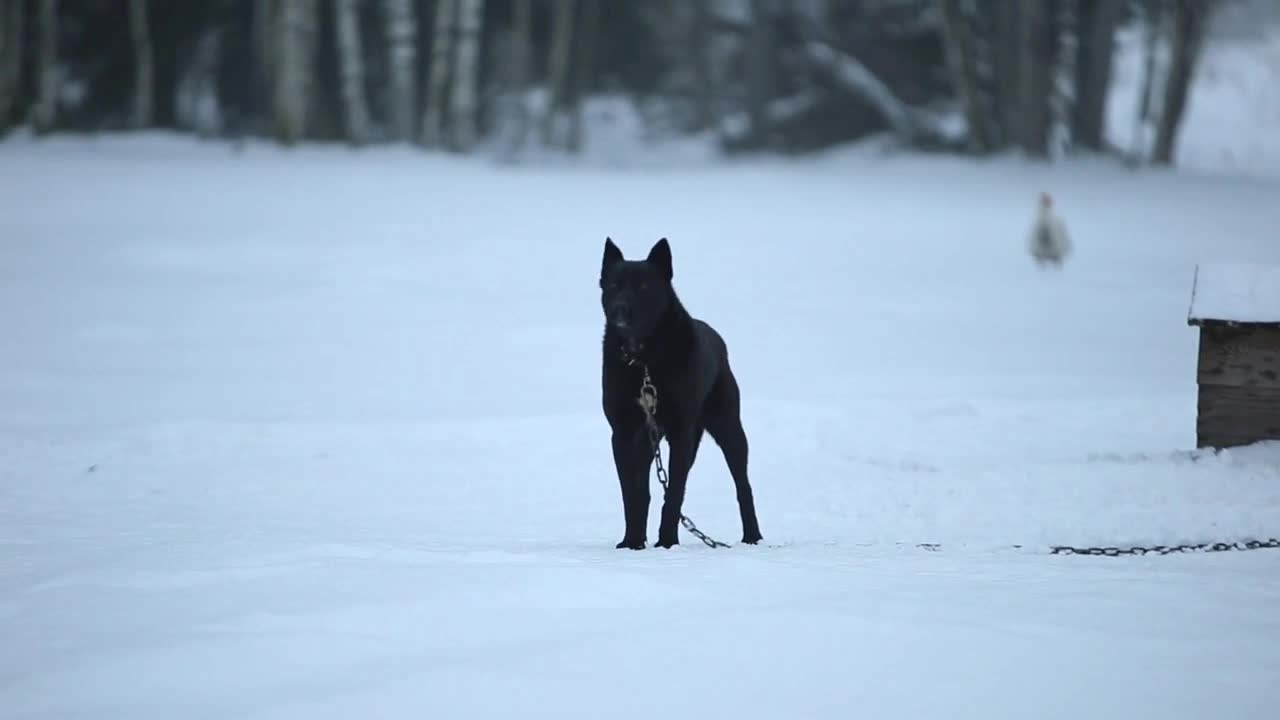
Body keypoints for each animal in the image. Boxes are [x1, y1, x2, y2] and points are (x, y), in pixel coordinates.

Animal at [599, 238, 757, 545]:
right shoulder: (623, 433)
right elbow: (632, 495)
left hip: (728, 427)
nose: (620, 310)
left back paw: (753, 536)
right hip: (652, 441)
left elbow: (673, 494)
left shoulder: (680, 432)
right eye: (613, 285)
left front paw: (667, 542)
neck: (644, 361)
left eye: (644, 287)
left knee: (742, 485)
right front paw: (632, 542)